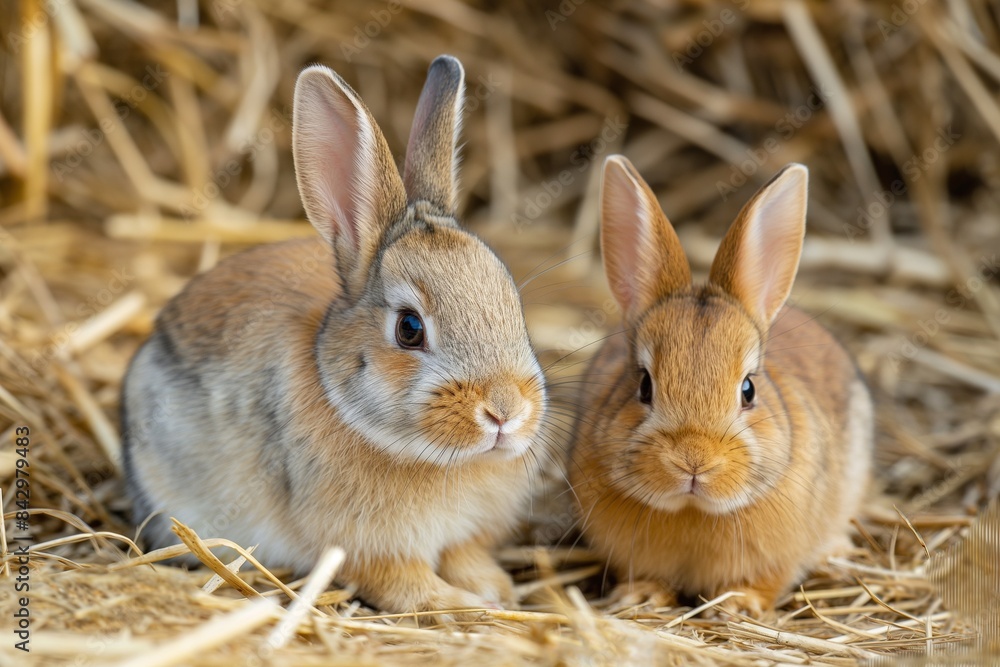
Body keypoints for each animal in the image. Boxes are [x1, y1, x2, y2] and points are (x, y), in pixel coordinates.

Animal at [121, 55, 547, 617]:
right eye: (409, 329)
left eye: (513, 304)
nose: (504, 411)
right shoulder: (369, 550)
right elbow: (407, 587)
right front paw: (467, 604)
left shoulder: (462, 538)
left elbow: (466, 558)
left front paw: (495, 590)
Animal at [569, 156, 873, 617]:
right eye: (643, 385)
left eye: (748, 389)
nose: (694, 462)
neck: (694, 511)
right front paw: (641, 597)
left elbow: (768, 581)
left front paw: (737, 605)